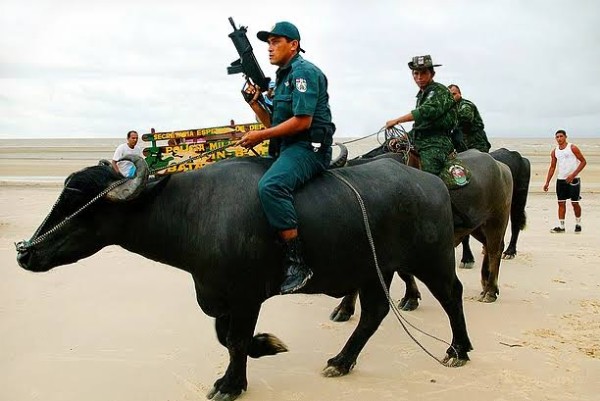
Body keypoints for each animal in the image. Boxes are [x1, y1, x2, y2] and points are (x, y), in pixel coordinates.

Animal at [16, 155, 472, 400]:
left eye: (85, 206)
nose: (25, 252)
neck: (192, 212)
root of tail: (431, 181)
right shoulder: (218, 293)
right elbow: (227, 336)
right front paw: (267, 345)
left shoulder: (248, 295)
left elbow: (234, 340)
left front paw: (232, 383)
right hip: (375, 269)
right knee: (374, 311)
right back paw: (341, 361)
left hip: (430, 259)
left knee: (451, 294)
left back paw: (458, 349)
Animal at [328, 148, 510, 320]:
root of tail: (502, 167)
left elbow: (402, 273)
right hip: (478, 226)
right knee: (488, 247)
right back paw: (485, 284)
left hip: (497, 219)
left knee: (495, 251)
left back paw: (490, 291)